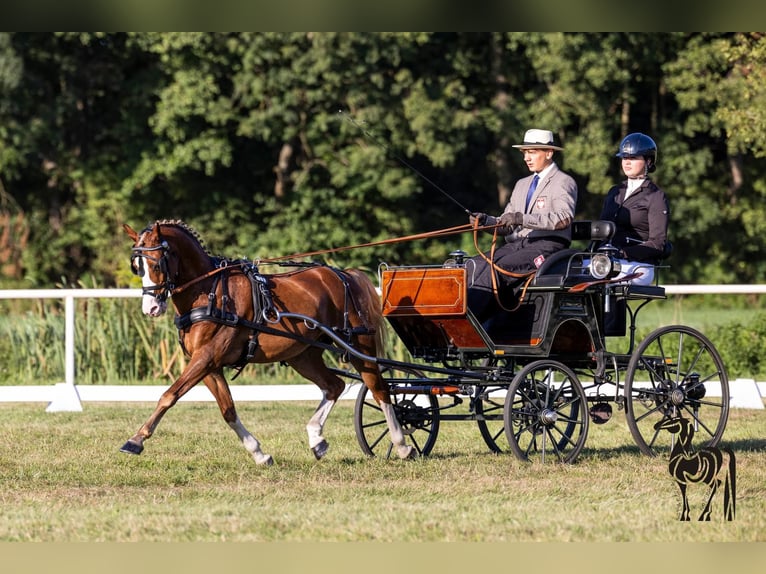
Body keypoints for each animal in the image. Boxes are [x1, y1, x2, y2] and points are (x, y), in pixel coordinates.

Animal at [122, 222, 416, 468]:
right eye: (137, 266)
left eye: (157, 264)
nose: (151, 308)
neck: (211, 292)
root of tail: (344, 274)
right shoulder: (209, 365)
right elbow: (228, 410)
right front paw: (259, 454)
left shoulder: (206, 358)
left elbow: (169, 395)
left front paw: (136, 440)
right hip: (303, 355)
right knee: (334, 386)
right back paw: (316, 440)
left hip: (359, 347)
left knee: (379, 388)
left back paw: (402, 445)